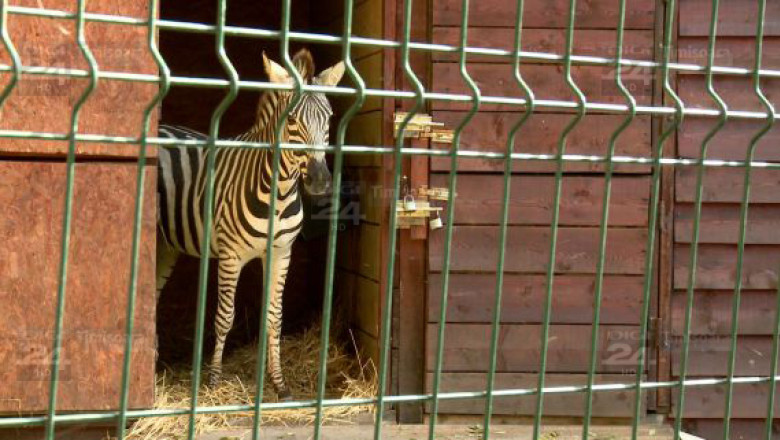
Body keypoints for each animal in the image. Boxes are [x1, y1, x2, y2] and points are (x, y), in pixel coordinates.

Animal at [156, 49, 344, 400]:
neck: (279, 193)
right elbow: (224, 317)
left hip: (165, 246)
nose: (321, 181)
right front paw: (213, 380)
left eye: (329, 119)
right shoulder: (231, 256)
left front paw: (279, 384)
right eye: (292, 121)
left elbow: (275, 317)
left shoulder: (281, 253)